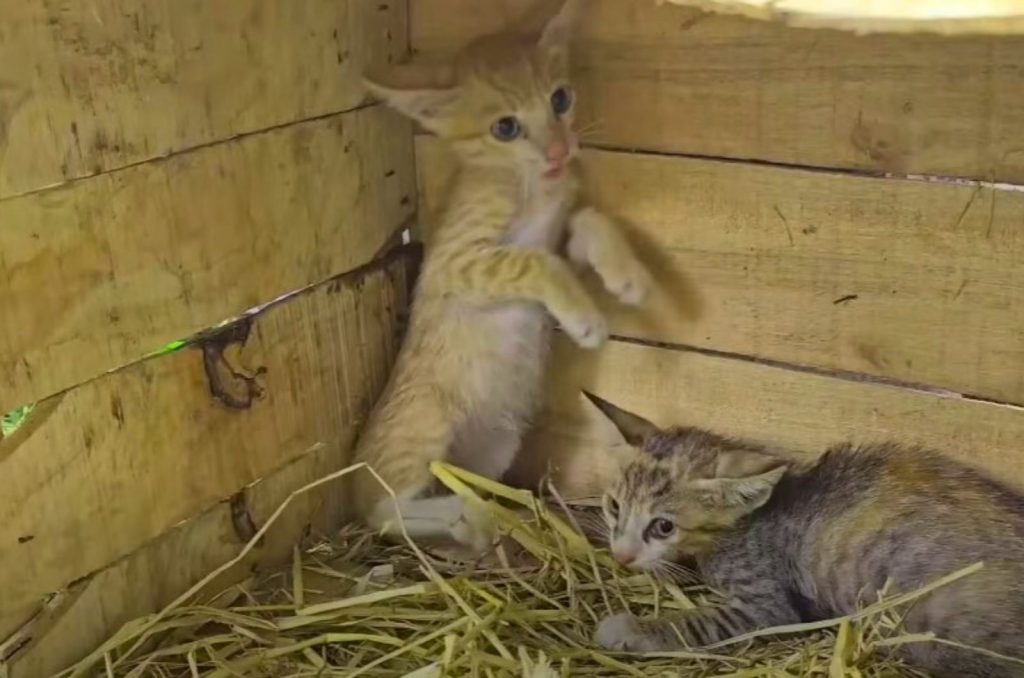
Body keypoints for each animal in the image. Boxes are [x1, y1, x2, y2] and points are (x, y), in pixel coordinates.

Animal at [352, 0, 651, 553]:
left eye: (560, 99)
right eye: (505, 129)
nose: (560, 152)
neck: (528, 182)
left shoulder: (561, 234)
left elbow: (589, 220)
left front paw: (628, 275)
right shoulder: (456, 261)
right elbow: (532, 261)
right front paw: (586, 320)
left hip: (499, 442)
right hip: (425, 423)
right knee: (382, 510)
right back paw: (464, 516)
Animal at [585, 393, 1024, 678]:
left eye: (663, 526)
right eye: (614, 507)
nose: (621, 557)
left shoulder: (767, 608)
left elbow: (696, 623)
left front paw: (631, 629)